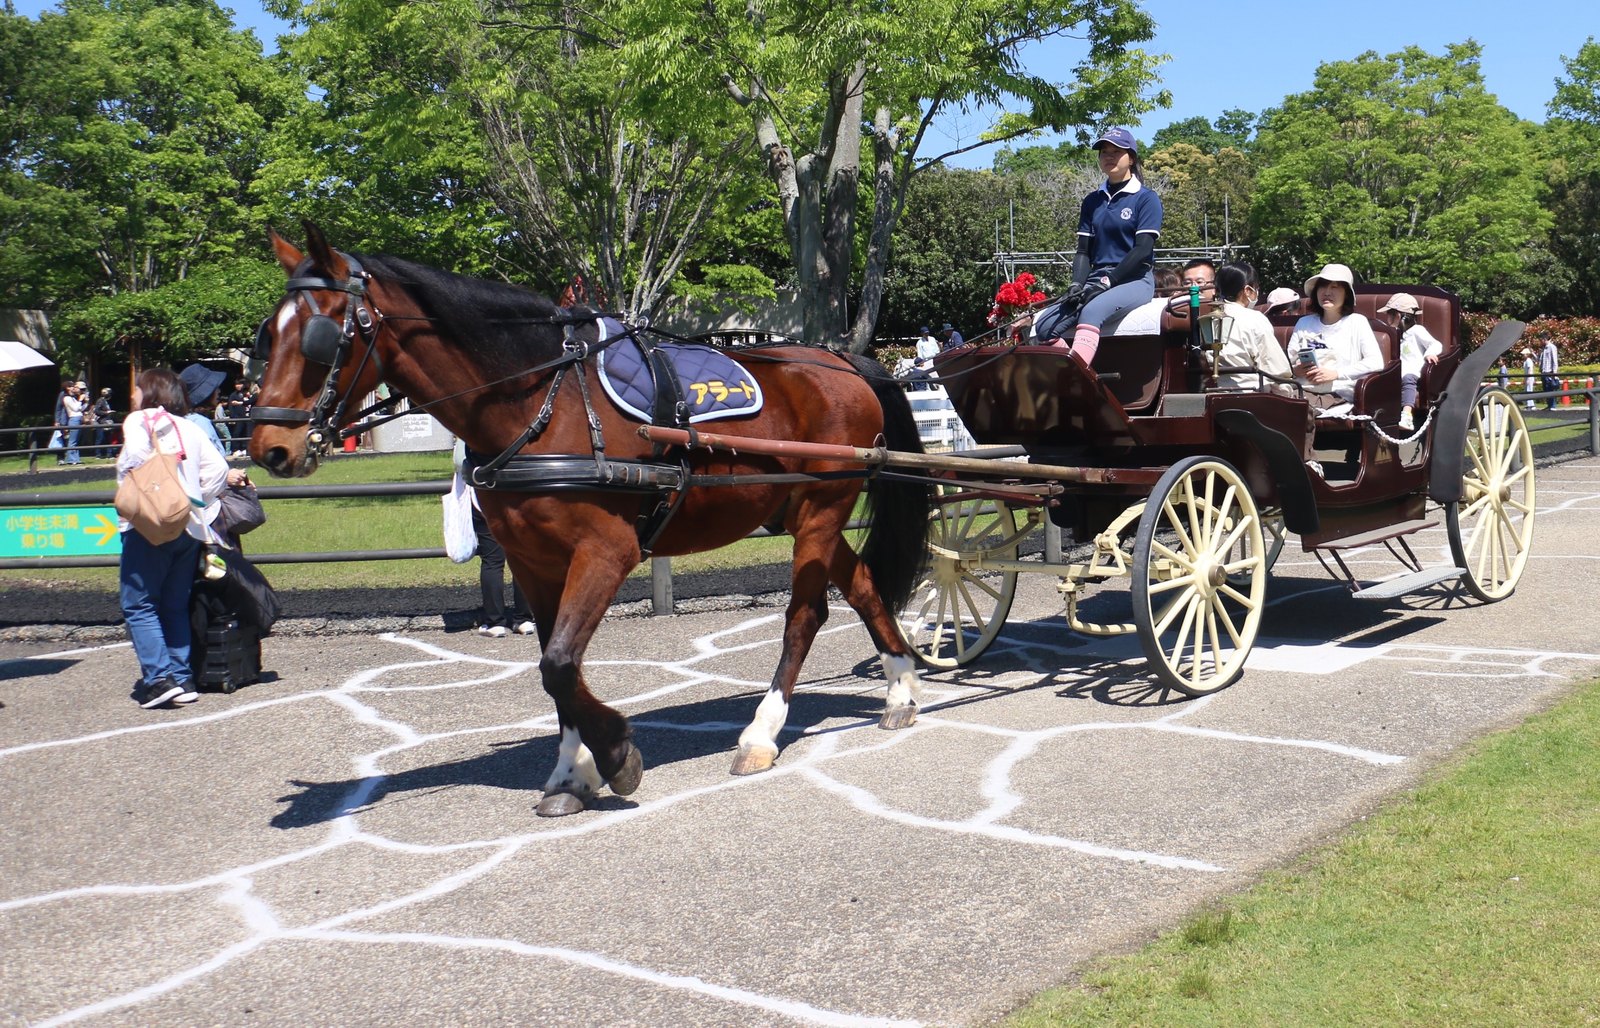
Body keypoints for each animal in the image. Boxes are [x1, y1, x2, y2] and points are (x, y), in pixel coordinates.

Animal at [249, 223, 933, 816]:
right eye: (266, 337)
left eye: (319, 336)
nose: (268, 448)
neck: (544, 403)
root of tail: (845, 363)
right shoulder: (533, 563)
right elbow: (560, 672)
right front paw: (572, 773)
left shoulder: (607, 552)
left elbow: (558, 664)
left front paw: (615, 753)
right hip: (797, 513)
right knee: (863, 585)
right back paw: (900, 688)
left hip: (820, 511)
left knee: (805, 615)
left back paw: (761, 732)